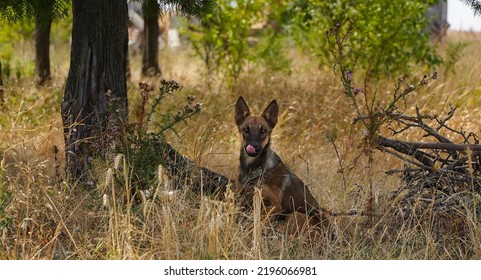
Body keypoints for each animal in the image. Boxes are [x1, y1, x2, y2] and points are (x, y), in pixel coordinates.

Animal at [233, 96, 330, 230]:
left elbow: (257, 223)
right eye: (246, 130)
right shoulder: (242, 199)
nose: (254, 147)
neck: (254, 168)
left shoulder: (275, 206)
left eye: (263, 131)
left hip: (295, 214)